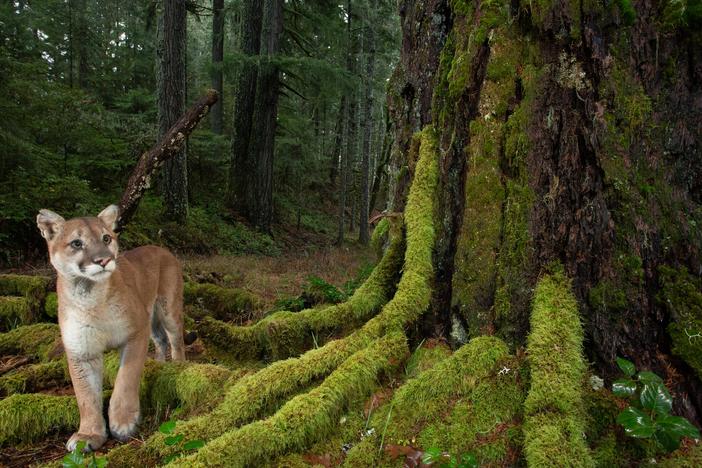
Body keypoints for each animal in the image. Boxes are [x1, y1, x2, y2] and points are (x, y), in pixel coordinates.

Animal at [37, 206, 186, 450]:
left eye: (106, 238)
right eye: (76, 243)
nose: (104, 260)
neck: (91, 297)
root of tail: (159, 247)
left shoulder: (136, 331)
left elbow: (126, 378)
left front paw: (123, 422)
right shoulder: (81, 351)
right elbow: (86, 396)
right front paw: (88, 434)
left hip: (168, 309)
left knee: (176, 340)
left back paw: (179, 365)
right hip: (152, 318)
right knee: (160, 339)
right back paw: (159, 364)